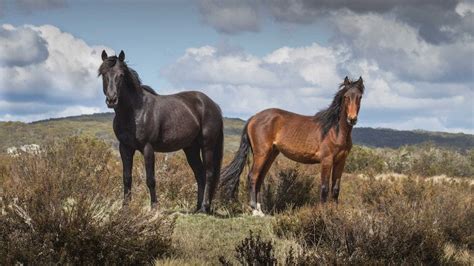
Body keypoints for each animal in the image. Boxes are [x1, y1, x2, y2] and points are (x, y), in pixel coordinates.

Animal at [98, 50, 224, 213]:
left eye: (121, 75)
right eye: (103, 74)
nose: (112, 100)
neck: (135, 111)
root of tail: (213, 104)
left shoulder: (148, 148)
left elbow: (151, 179)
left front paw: (154, 207)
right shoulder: (125, 148)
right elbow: (126, 178)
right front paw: (125, 208)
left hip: (207, 146)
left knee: (208, 173)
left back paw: (204, 207)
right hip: (191, 149)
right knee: (200, 174)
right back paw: (196, 208)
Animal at [220, 76, 364, 215]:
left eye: (359, 97)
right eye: (346, 96)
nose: (352, 119)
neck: (334, 130)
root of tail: (253, 118)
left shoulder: (341, 161)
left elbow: (335, 189)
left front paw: (334, 212)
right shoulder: (327, 161)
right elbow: (324, 188)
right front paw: (323, 213)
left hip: (271, 155)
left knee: (260, 178)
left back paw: (261, 211)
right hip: (261, 154)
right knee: (253, 177)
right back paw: (255, 210)